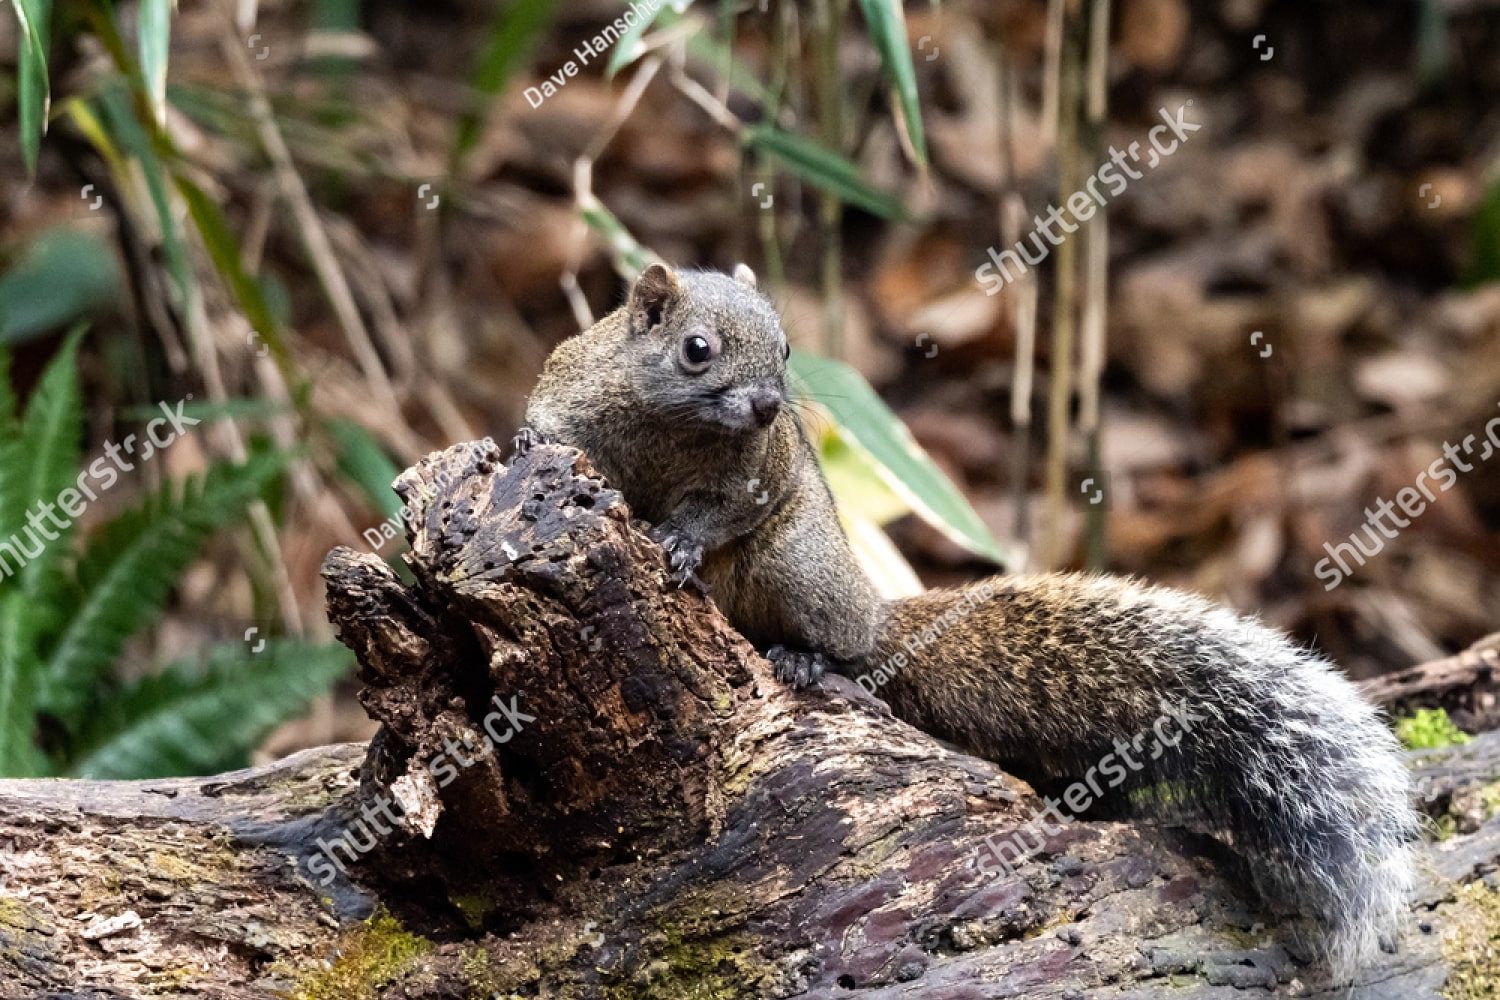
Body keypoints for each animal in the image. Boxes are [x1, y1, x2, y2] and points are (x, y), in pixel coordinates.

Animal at [519, 262, 1418, 982]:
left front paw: (681, 539)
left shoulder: (755, 473)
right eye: (696, 349)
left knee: (850, 647)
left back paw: (815, 663)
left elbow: (723, 510)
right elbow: (548, 431)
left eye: (786, 351)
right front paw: (525, 457)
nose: (772, 404)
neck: (671, 427)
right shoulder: (571, 393)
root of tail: (874, 606)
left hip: (801, 568)